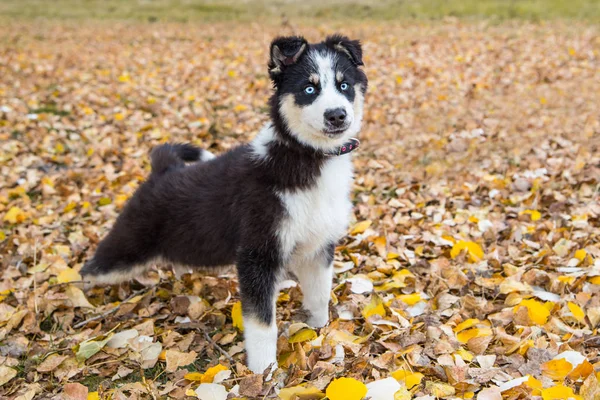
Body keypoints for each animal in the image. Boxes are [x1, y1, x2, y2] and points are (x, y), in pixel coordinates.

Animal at [82, 33, 368, 372]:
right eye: (309, 90)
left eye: (344, 85)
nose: (337, 115)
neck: (307, 154)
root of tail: (164, 169)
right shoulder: (257, 255)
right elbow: (262, 323)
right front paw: (264, 371)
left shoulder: (318, 247)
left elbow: (320, 295)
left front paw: (319, 332)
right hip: (126, 248)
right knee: (89, 270)